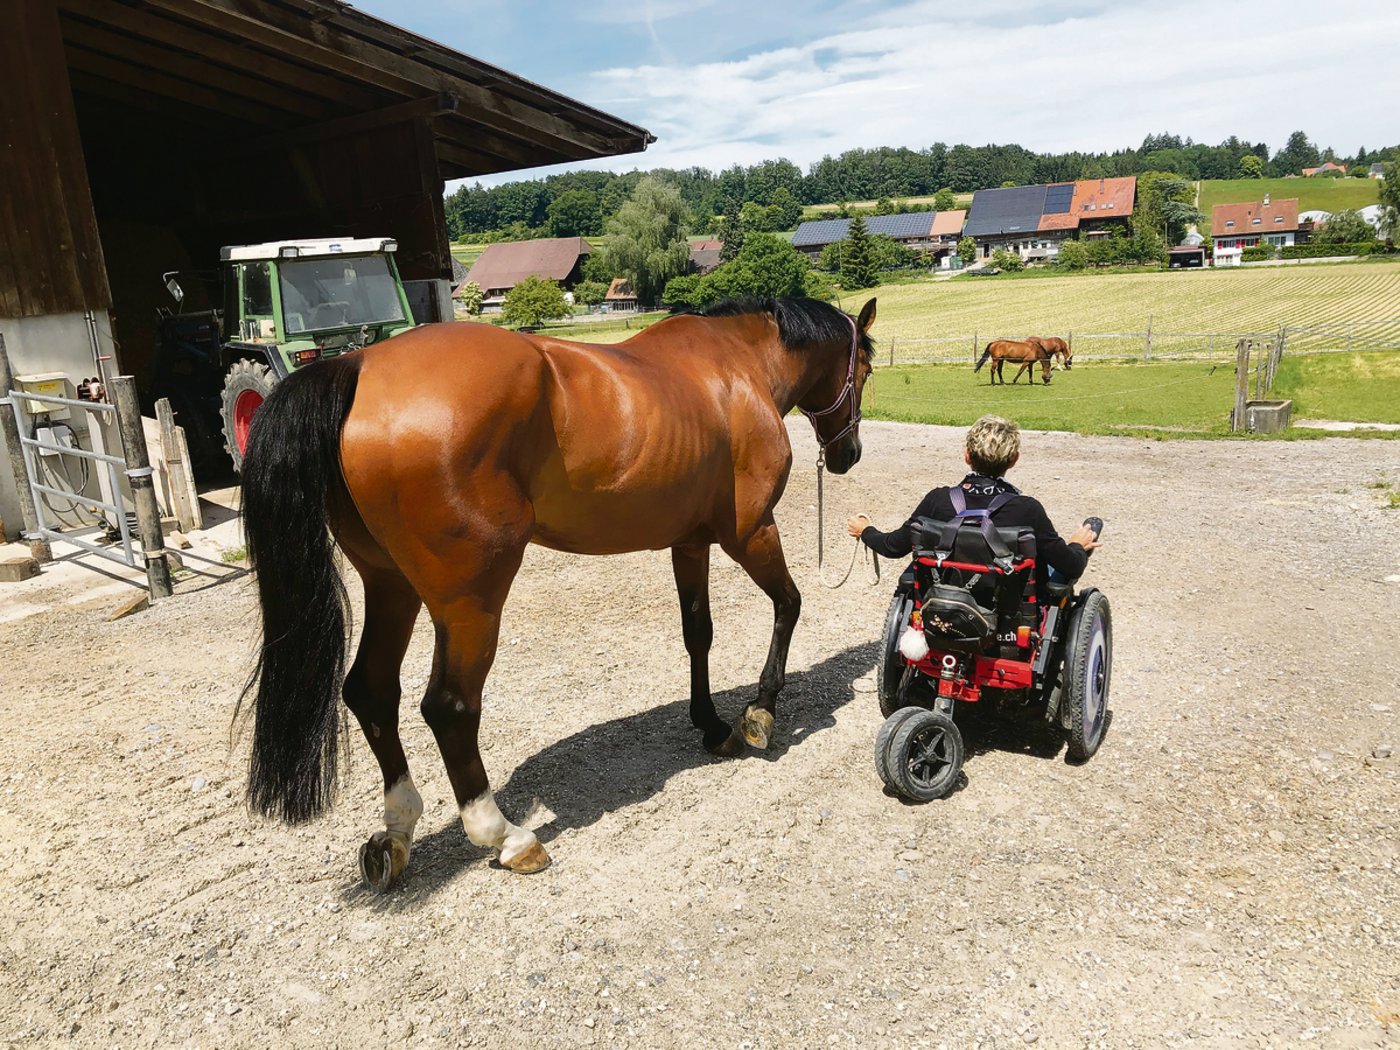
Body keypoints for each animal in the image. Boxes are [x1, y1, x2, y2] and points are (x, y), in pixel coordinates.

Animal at [237, 296, 877, 890]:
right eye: (866, 368)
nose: (849, 455)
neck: (736, 368)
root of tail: (359, 365)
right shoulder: (751, 533)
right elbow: (790, 605)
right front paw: (760, 712)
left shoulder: (690, 544)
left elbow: (699, 633)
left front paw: (713, 725)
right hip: (471, 601)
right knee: (449, 707)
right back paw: (505, 836)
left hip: (391, 586)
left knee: (371, 692)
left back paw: (396, 834)